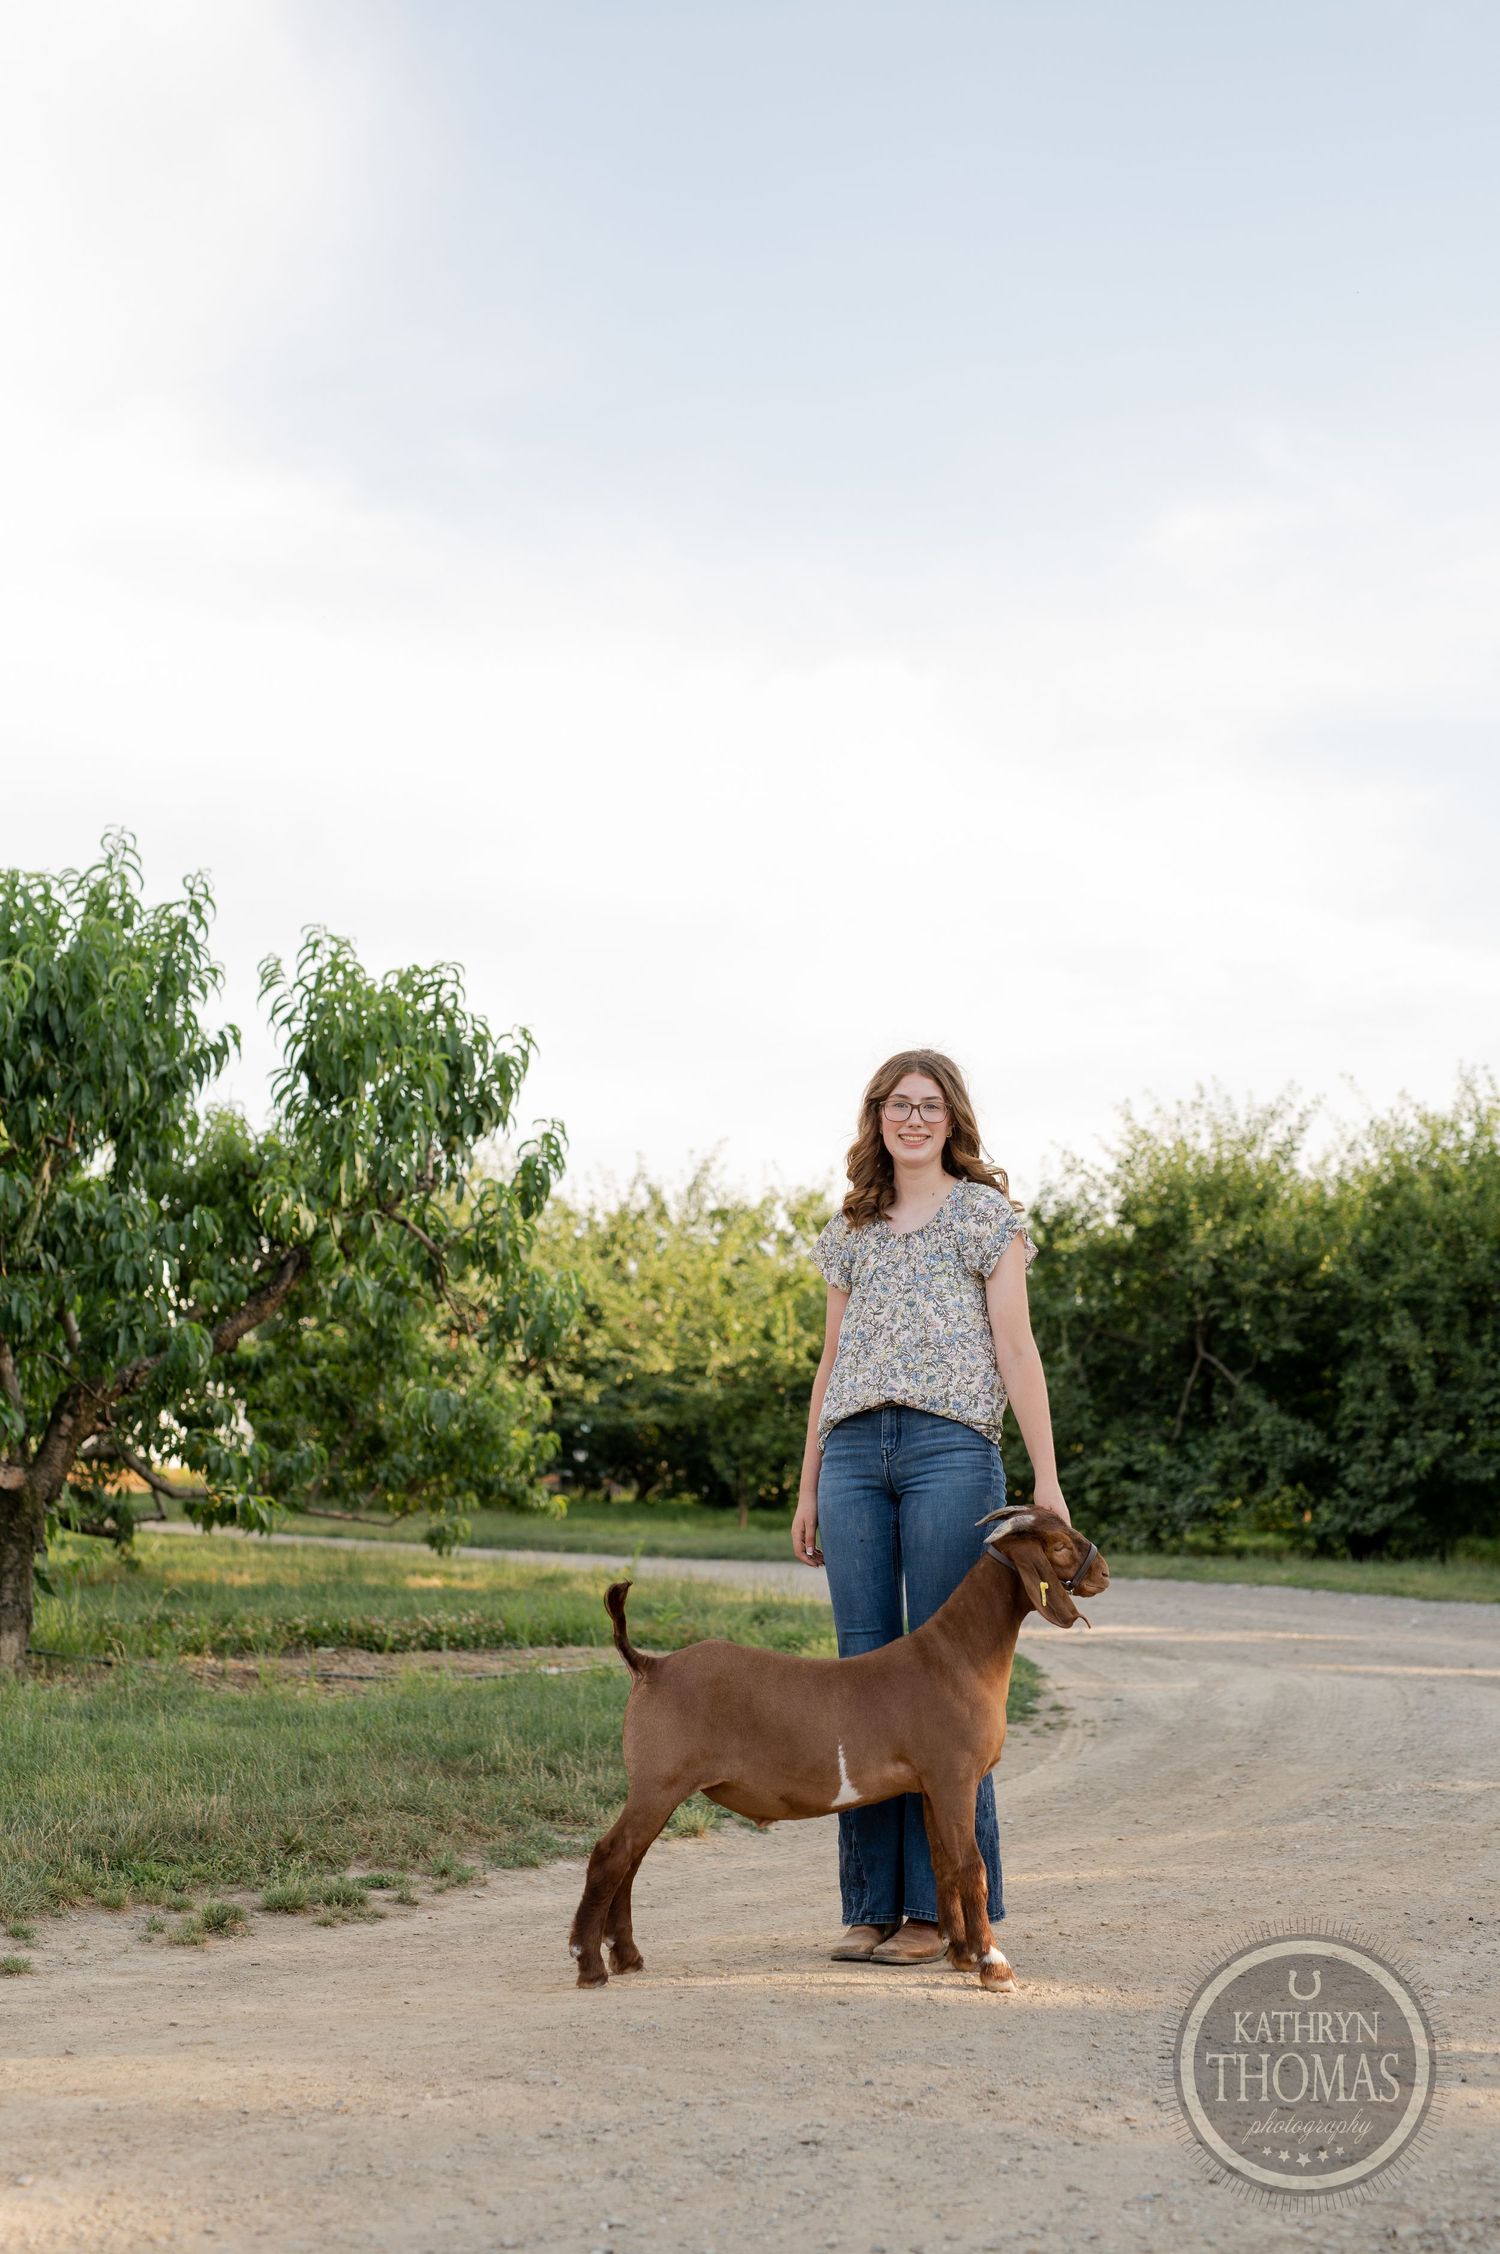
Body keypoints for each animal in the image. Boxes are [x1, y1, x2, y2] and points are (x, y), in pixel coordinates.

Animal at [566, 1506, 1109, 1992]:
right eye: (1058, 1545)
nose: (1103, 1572)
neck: (955, 1657)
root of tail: (650, 1665)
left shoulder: (930, 1785)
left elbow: (943, 1864)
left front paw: (960, 1953)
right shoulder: (954, 1777)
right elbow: (971, 1866)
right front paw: (994, 1965)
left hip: (657, 1785)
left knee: (630, 1861)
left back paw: (627, 1956)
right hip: (659, 1780)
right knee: (611, 1855)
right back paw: (589, 1964)